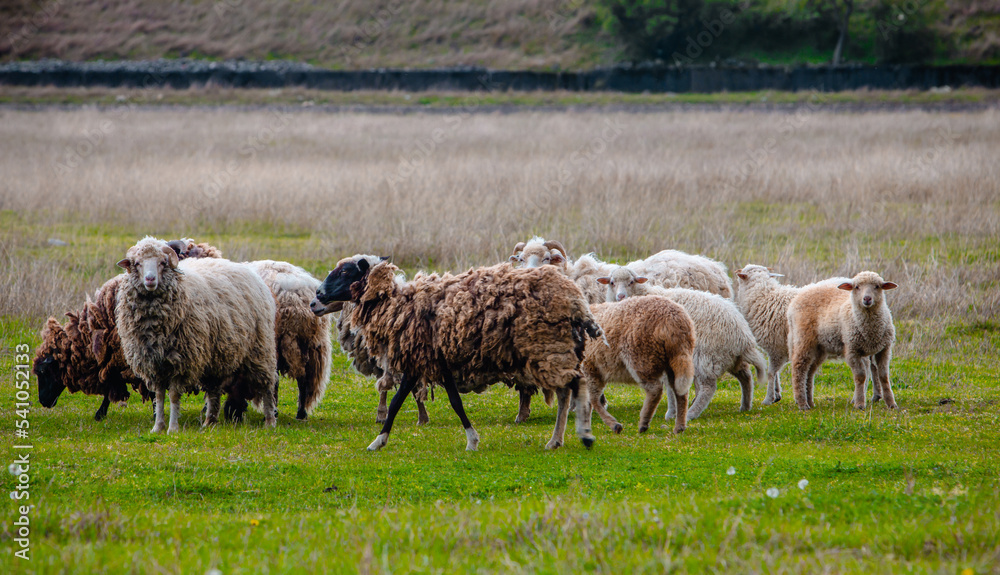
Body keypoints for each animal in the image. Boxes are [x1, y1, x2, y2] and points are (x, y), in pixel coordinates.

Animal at [116, 236, 278, 433]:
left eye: (162, 262)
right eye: (137, 263)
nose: (150, 279)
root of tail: (247, 269)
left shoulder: (181, 361)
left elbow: (174, 396)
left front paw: (172, 428)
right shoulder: (155, 364)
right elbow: (160, 397)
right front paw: (158, 427)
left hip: (260, 349)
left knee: (267, 385)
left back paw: (270, 421)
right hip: (217, 355)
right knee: (214, 390)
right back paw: (209, 421)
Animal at [312, 258, 604, 451]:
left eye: (345, 271)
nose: (316, 297)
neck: (397, 305)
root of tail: (577, 301)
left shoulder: (422, 360)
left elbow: (404, 401)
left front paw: (377, 441)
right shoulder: (432, 361)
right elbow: (441, 400)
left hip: (548, 346)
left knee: (575, 386)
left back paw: (584, 434)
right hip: (554, 349)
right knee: (567, 392)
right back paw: (556, 440)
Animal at [583, 296, 696, 434]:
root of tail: (673, 320)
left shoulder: (589, 368)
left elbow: (593, 399)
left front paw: (613, 424)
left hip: (641, 356)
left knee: (655, 390)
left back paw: (644, 423)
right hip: (674, 360)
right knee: (680, 391)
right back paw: (679, 426)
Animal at [600, 279, 766, 419]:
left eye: (631, 282)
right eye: (611, 282)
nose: (620, 296)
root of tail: (743, 336)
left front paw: (670, 413)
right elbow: (670, 385)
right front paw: (672, 412)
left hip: (707, 357)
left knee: (709, 387)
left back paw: (692, 413)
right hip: (729, 358)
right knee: (746, 376)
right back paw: (745, 406)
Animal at [786, 271, 898, 411]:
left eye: (877, 286)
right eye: (856, 287)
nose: (867, 299)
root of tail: (795, 300)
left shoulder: (884, 349)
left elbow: (884, 376)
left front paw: (891, 403)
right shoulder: (852, 349)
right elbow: (860, 377)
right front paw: (859, 404)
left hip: (819, 347)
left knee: (810, 371)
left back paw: (810, 402)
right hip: (804, 338)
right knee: (799, 368)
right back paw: (802, 403)